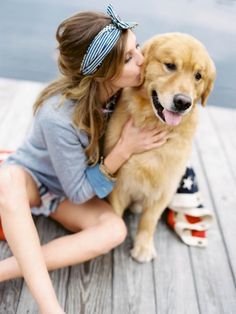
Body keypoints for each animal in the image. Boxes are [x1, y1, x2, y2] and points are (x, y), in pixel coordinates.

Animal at [104, 32, 216, 262]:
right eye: (170, 65)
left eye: (198, 76)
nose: (183, 102)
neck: (153, 123)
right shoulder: (119, 184)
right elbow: (115, 213)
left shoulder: (164, 188)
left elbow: (149, 221)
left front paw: (143, 247)